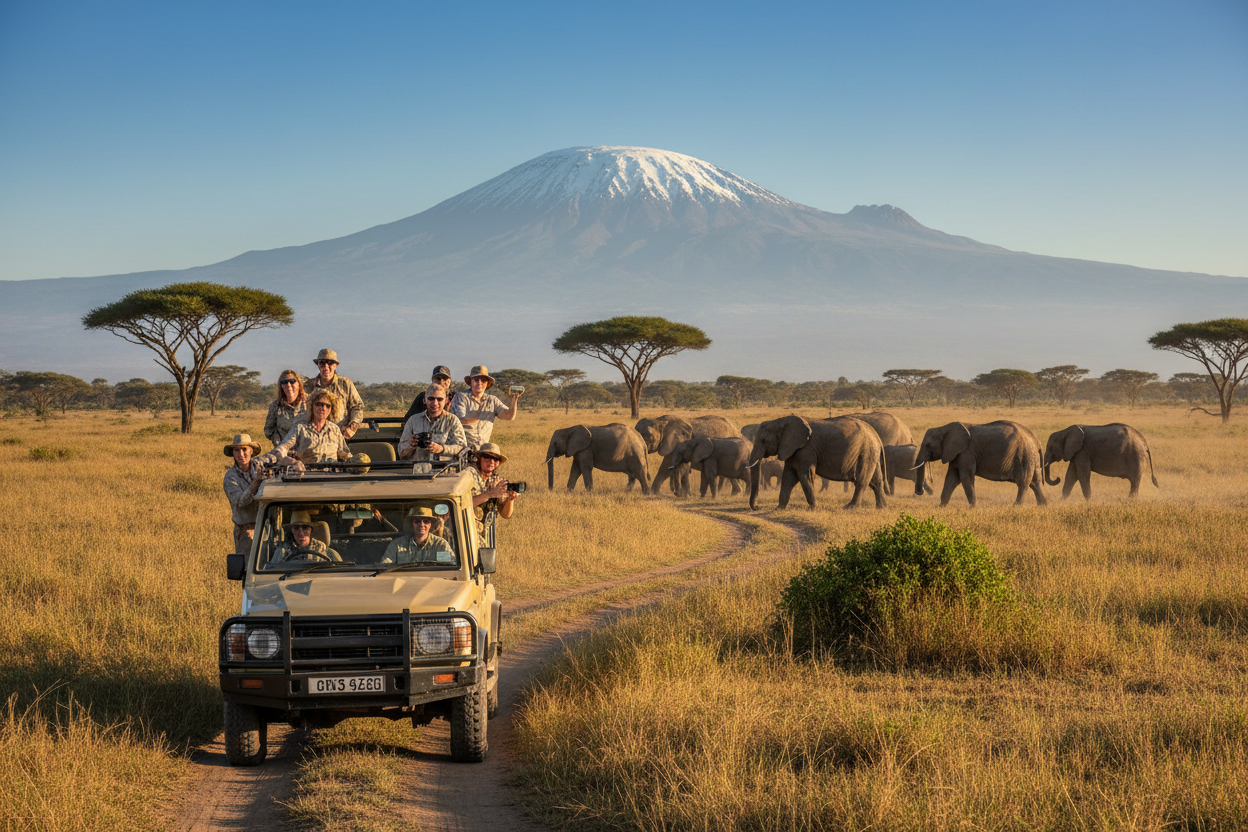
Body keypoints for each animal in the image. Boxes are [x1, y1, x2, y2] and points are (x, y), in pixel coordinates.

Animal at [748, 414, 887, 510]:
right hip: (871, 452)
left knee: (861, 480)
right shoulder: (793, 449)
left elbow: (805, 475)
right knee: (876, 481)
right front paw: (779, 509)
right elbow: (788, 476)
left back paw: (850, 508)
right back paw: (882, 507)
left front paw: (813, 508)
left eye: (763, 440)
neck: (782, 421)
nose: (757, 507)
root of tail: (877, 436)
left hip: (866, 451)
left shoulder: (806, 449)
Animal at [914, 421, 1047, 507]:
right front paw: (941, 507)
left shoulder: (967, 452)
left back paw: (1015, 507)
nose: (919, 493)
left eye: (928, 446)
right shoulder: (957, 453)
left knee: (1023, 482)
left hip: (1024, 456)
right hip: (1031, 457)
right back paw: (1043, 505)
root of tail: (1036, 441)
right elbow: (951, 478)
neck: (943, 428)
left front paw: (972, 507)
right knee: (1035, 482)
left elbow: (965, 477)